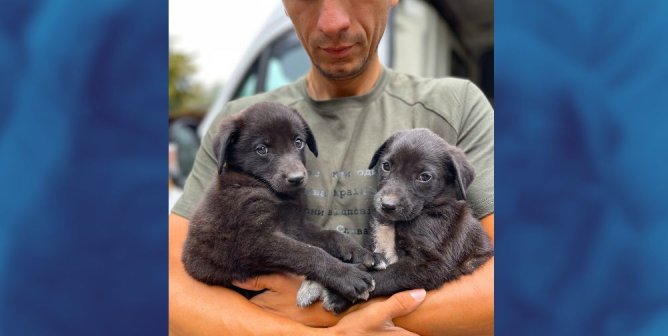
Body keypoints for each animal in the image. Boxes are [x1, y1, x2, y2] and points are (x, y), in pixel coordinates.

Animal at [183, 101, 378, 302]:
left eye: (298, 142)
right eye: (262, 149)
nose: (297, 178)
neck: (267, 188)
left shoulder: (295, 227)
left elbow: (330, 234)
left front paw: (360, 252)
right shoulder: (257, 240)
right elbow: (309, 252)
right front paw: (348, 276)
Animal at [300, 128, 494, 312]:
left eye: (424, 177)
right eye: (386, 165)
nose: (387, 205)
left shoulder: (429, 263)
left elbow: (386, 276)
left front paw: (338, 294)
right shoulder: (375, 246)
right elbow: (363, 257)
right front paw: (316, 282)